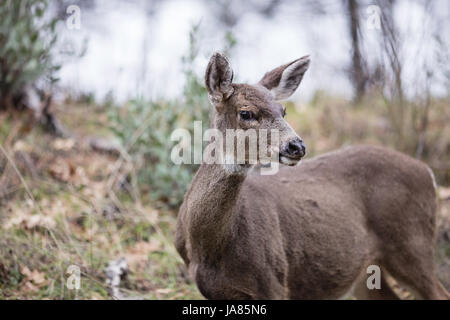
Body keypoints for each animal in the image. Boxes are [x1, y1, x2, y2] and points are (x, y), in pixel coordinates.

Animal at [174, 51, 448, 298]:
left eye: (283, 111)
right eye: (246, 113)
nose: (297, 146)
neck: (209, 247)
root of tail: (428, 172)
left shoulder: (273, 281)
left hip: (412, 244)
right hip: (368, 269)